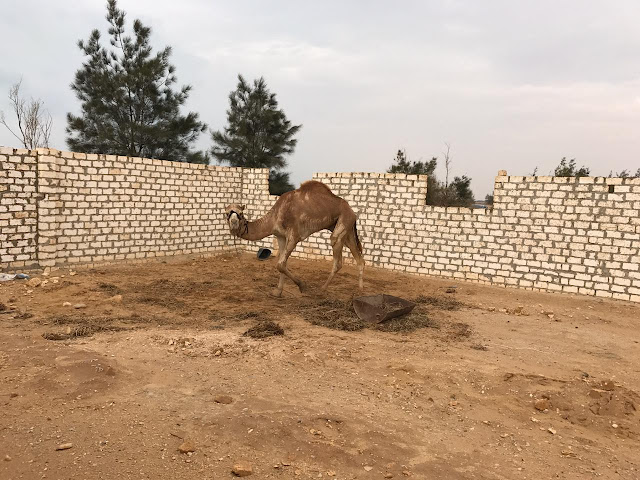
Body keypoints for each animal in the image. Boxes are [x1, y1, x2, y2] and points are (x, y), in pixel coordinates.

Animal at [226, 180, 364, 296]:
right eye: (227, 213)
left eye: (240, 213)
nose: (234, 223)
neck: (275, 216)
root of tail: (352, 211)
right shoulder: (280, 236)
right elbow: (280, 263)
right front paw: (278, 292)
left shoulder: (294, 236)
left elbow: (281, 264)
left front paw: (302, 286)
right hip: (345, 229)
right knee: (359, 258)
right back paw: (360, 290)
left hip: (343, 221)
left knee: (337, 257)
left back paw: (322, 289)